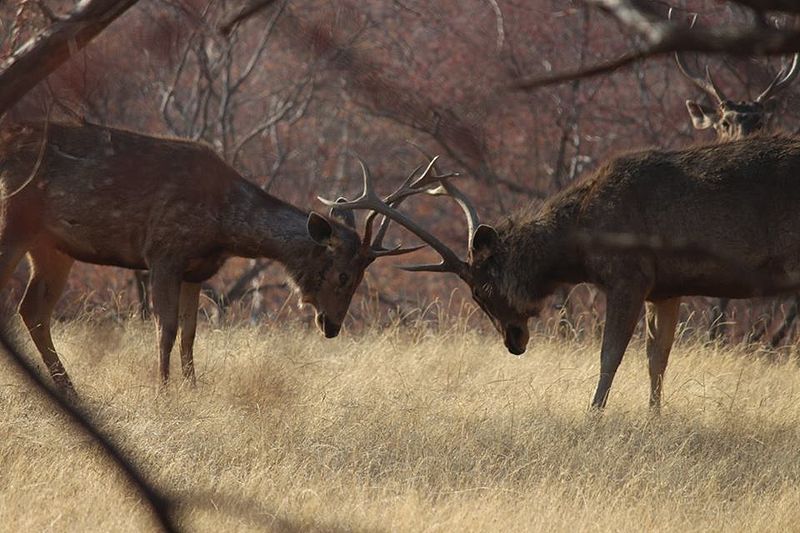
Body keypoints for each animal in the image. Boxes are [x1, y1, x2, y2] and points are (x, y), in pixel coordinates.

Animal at [0, 120, 438, 394]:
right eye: (344, 275)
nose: (332, 327)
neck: (223, 228)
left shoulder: (196, 271)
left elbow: (191, 333)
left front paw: (193, 387)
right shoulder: (163, 251)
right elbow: (166, 328)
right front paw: (163, 390)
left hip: (53, 247)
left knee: (32, 310)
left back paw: (68, 388)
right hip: (13, 218)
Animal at [322, 139, 800, 410]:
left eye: (484, 289)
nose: (514, 341)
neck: (580, 244)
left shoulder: (629, 274)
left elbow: (611, 355)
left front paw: (593, 415)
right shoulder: (666, 287)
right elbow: (657, 359)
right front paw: (654, 419)